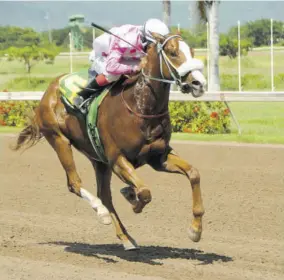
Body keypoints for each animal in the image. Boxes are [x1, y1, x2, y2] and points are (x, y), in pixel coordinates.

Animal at [12, 32, 205, 249]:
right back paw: (102, 212)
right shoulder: (117, 159)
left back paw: (125, 237)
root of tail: (47, 93)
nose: (199, 84)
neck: (140, 106)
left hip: (97, 158)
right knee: (75, 183)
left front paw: (195, 230)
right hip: (59, 140)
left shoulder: (158, 157)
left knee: (104, 194)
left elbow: (193, 174)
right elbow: (145, 191)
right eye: (173, 52)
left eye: (192, 51)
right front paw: (132, 197)